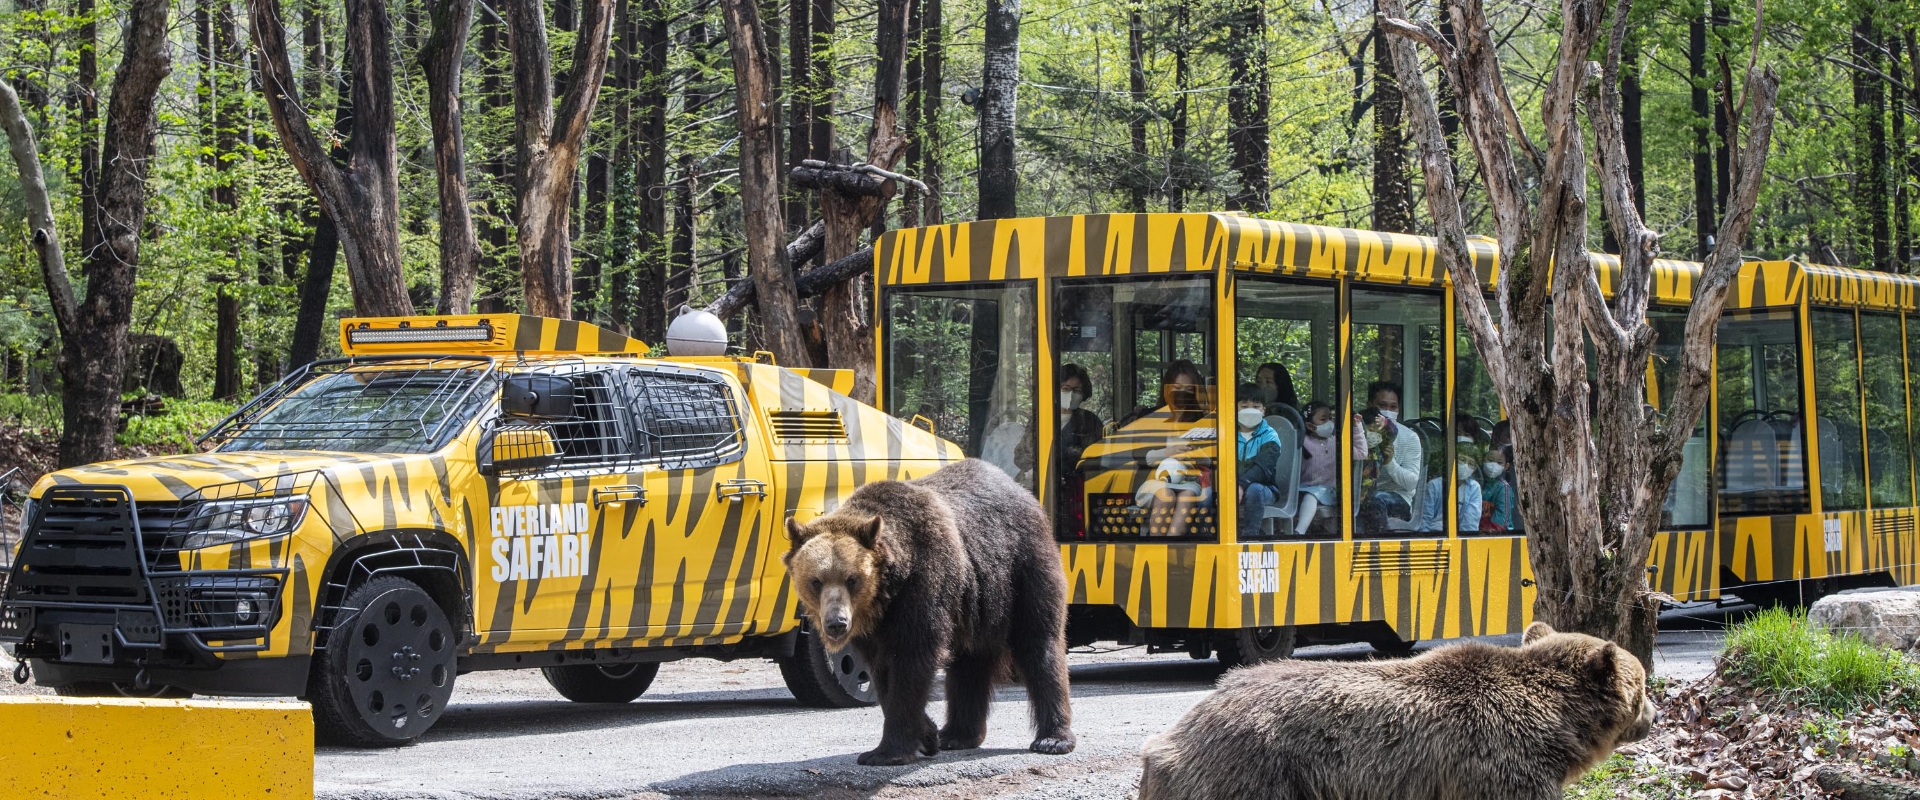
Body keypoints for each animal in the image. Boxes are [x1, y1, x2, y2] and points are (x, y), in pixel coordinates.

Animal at [783, 454, 1082, 759]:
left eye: (852, 579)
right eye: (816, 581)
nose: (836, 623)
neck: (888, 591)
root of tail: (1024, 492)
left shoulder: (925, 582)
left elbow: (912, 657)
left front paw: (887, 751)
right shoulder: (874, 626)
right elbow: (883, 671)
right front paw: (927, 735)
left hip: (1022, 569)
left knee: (1038, 643)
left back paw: (1052, 738)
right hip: (977, 601)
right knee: (969, 662)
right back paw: (958, 735)